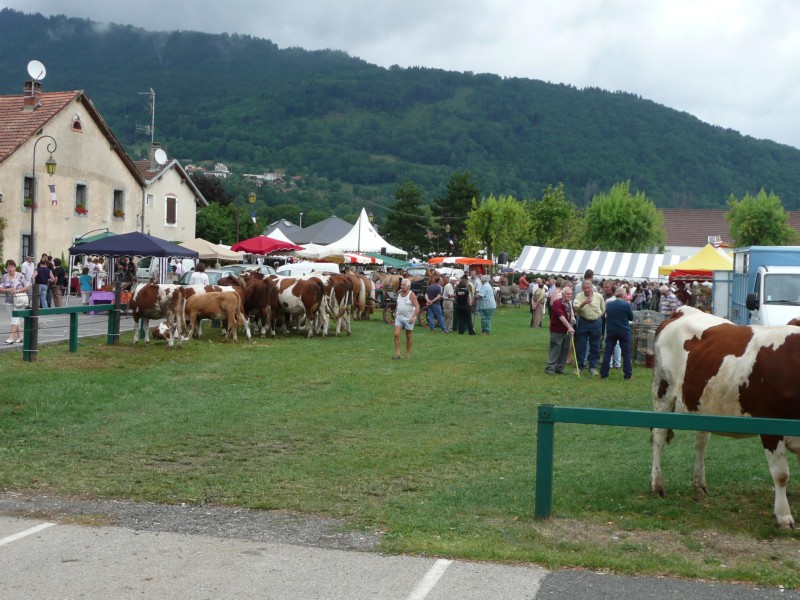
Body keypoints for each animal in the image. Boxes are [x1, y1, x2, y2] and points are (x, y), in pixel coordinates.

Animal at [648, 308, 800, 528]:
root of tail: (682, 311)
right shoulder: (772, 427)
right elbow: (781, 474)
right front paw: (784, 517)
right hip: (663, 394)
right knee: (658, 439)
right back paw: (657, 485)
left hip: (704, 405)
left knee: (700, 443)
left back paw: (699, 483)